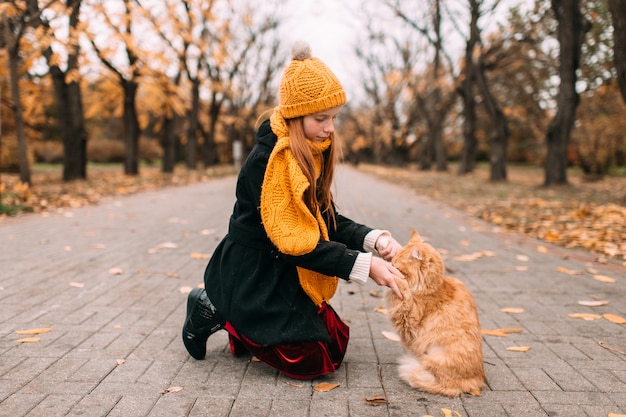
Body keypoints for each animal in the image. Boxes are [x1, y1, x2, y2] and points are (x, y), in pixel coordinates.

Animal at [382, 231, 486, 396]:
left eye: (395, 265)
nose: (389, 265)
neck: (433, 288)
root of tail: (477, 381)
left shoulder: (409, 325)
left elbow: (403, 292)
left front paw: (396, 280)